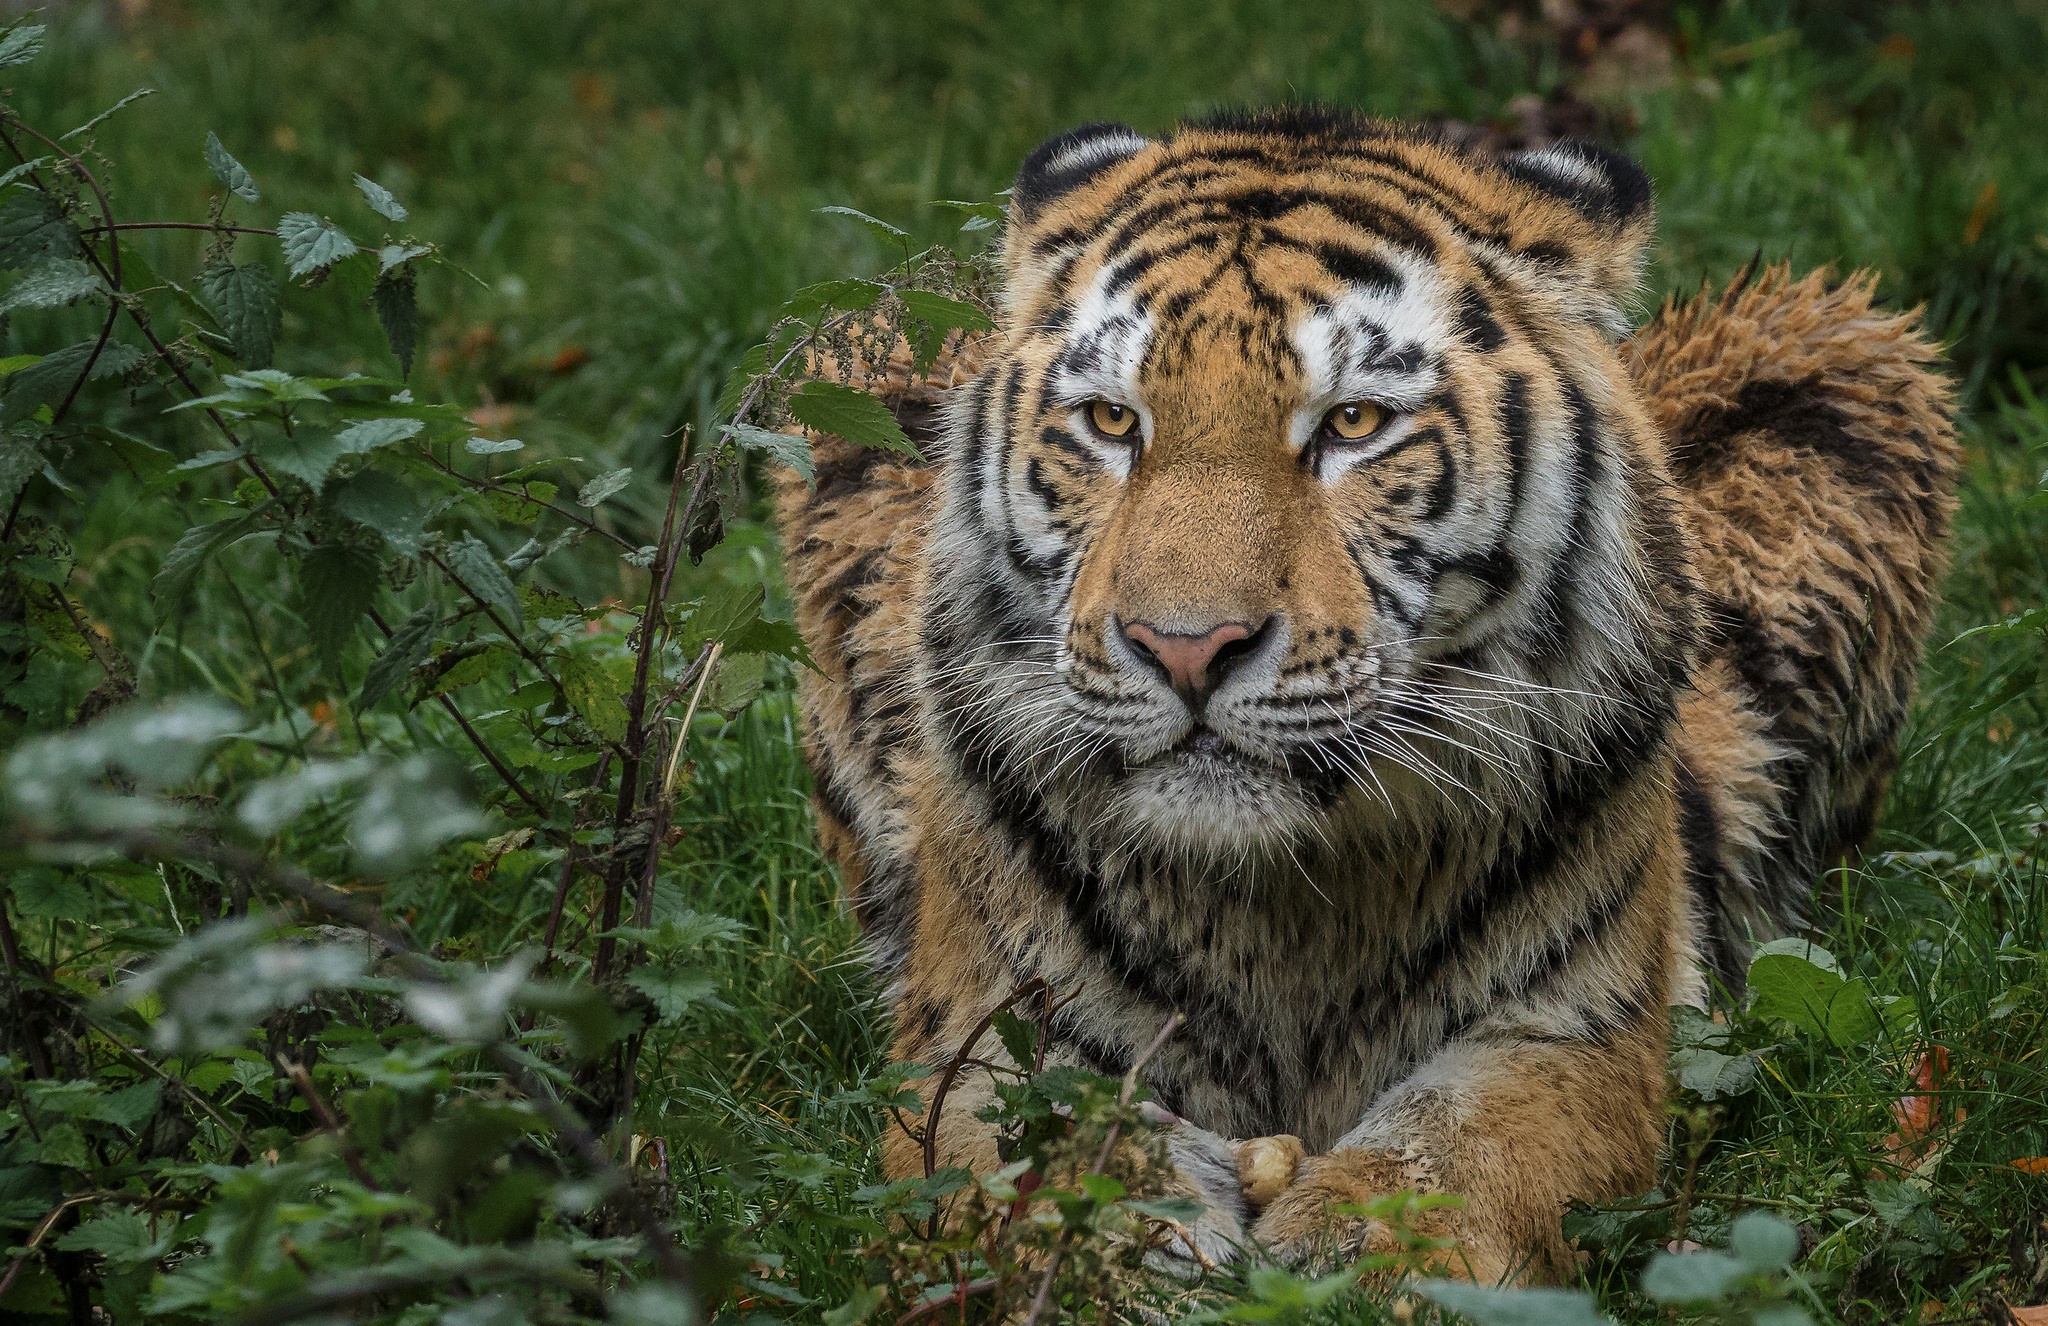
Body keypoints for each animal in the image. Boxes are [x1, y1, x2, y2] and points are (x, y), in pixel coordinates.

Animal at [770, 109, 1949, 1295]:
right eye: (1111, 421)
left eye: (1350, 424)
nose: (1184, 649)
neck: (1274, 908)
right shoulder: (979, 1031)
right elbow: (1026, 1157)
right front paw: (1114, 1257)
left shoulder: (1577, 1029)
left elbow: (1461, 1149)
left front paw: (1360, 1253)